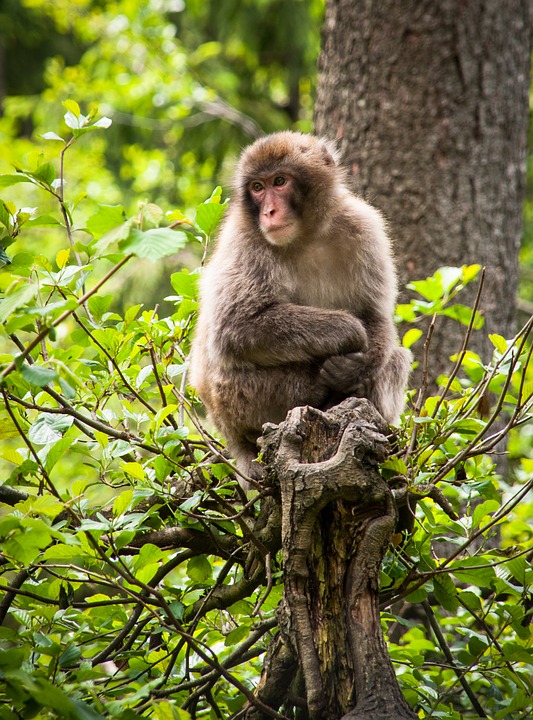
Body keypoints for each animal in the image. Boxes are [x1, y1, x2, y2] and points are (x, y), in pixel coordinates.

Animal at [189, 131, 410, 490]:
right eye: (257, 187)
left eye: (280, 181)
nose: (269, 211)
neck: (307, 236)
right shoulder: (246, 241)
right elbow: (235, 328)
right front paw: (349, 332)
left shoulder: (364, 226)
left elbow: (375, 315)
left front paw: (356, 365)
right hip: (237, 400)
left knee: (397, 357)